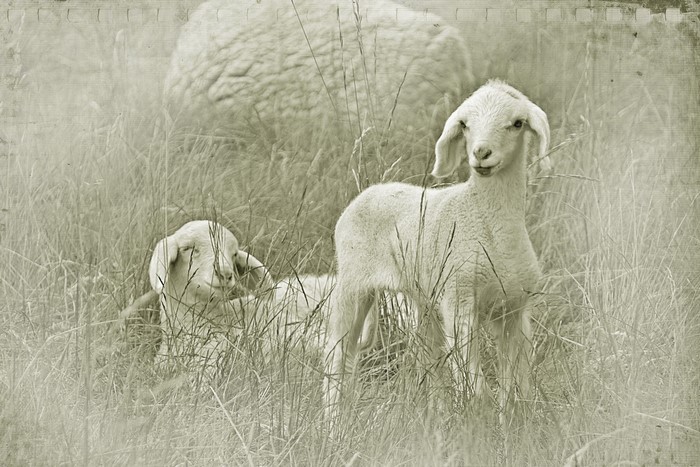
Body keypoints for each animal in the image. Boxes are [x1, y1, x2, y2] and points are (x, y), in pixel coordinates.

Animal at [324, 80, 550, 425]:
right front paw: (479, 423)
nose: (481, 154)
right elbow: (476, 385)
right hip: (353, 284)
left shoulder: (515, 308)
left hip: (423, 300)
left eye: (517, 123)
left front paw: (514, 425)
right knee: (339, 353)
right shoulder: (459, 302)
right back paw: (333, 422)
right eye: (465, 125)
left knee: (425, 357)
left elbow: (516, 381)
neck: (486, 220)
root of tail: (369, 191)